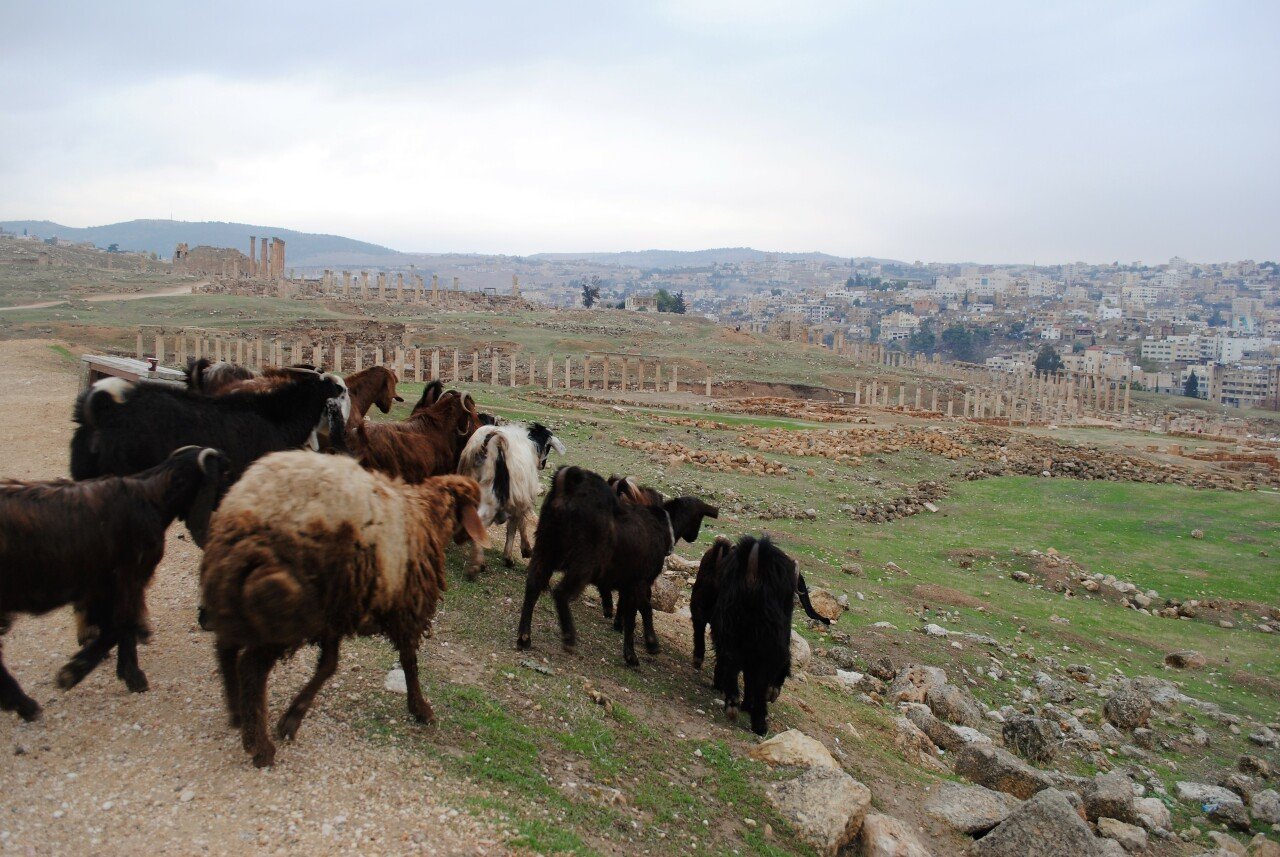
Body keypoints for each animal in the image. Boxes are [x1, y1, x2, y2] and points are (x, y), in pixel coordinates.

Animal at [0, 447, 227, 721]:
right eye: (225, 473)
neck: (150, 497)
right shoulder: (126, 579)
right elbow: (120, 625)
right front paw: (75, 673)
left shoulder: (107, 586)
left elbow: (119, 626)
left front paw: (127, 673)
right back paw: (26, 705)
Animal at [202, 452, 486, 767]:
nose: (468, 538)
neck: (428, 517)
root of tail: (250, 506)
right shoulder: (405, 609)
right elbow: (409, 662)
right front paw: (420, 708)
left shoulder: (337, 614)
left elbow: (329, 665)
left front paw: (292, 718)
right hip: (284, 605)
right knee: (251, 667)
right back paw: (259, 747)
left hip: (233, 589)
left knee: (225, 647)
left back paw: (237, 713)